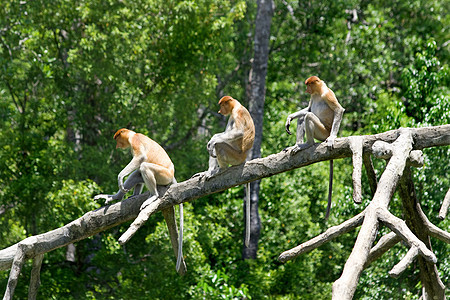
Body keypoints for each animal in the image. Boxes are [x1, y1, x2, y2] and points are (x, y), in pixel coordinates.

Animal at [94, 127, 184, 274]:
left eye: (117, 139)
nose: (117, 146)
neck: (133, 135)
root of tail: (172, 176)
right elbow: (137, 167)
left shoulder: (136, 141)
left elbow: (140, 158)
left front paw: (120, 177)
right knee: (137, 173)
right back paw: (115, 197)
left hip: (163, 175)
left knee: (144, 167)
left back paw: (153, 196)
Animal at [194, 96, 256, 246]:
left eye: (222, 105)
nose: (219, 111)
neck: (236, 106)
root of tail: (244, 158)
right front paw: (212, 138)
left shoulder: (237, 114)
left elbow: (238, 132)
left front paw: (212, 140)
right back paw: (209, 171)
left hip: (235, 156)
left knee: (219, 146)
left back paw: (220, 170)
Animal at [284, 76, 344, 219]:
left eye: (308, 85)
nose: (306, 90)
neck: (318, 93)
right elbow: (309, 108)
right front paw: (290, 117)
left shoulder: (328, 94)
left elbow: (338, 110)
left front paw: (332, 138)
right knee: (303, 117)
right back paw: (297, 145)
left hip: (323, 132)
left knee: (309, 117)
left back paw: (308, 144)